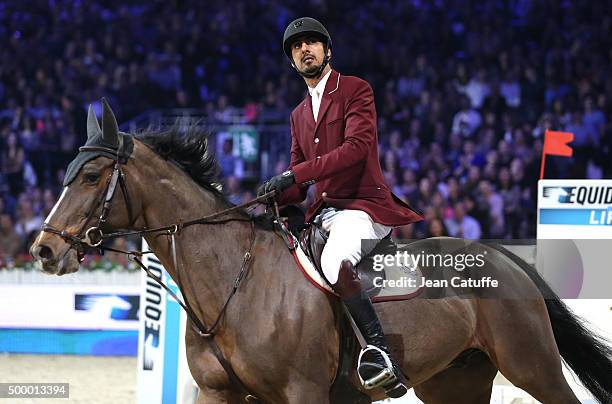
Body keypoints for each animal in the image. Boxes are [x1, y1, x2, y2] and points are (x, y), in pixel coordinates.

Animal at [29, 102, 612, 402]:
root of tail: (508, 261)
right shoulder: (218, 394)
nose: (43, 250)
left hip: (532, 366)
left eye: (91, 175)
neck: (233, 283)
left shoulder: (303, 392)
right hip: (455, 382)